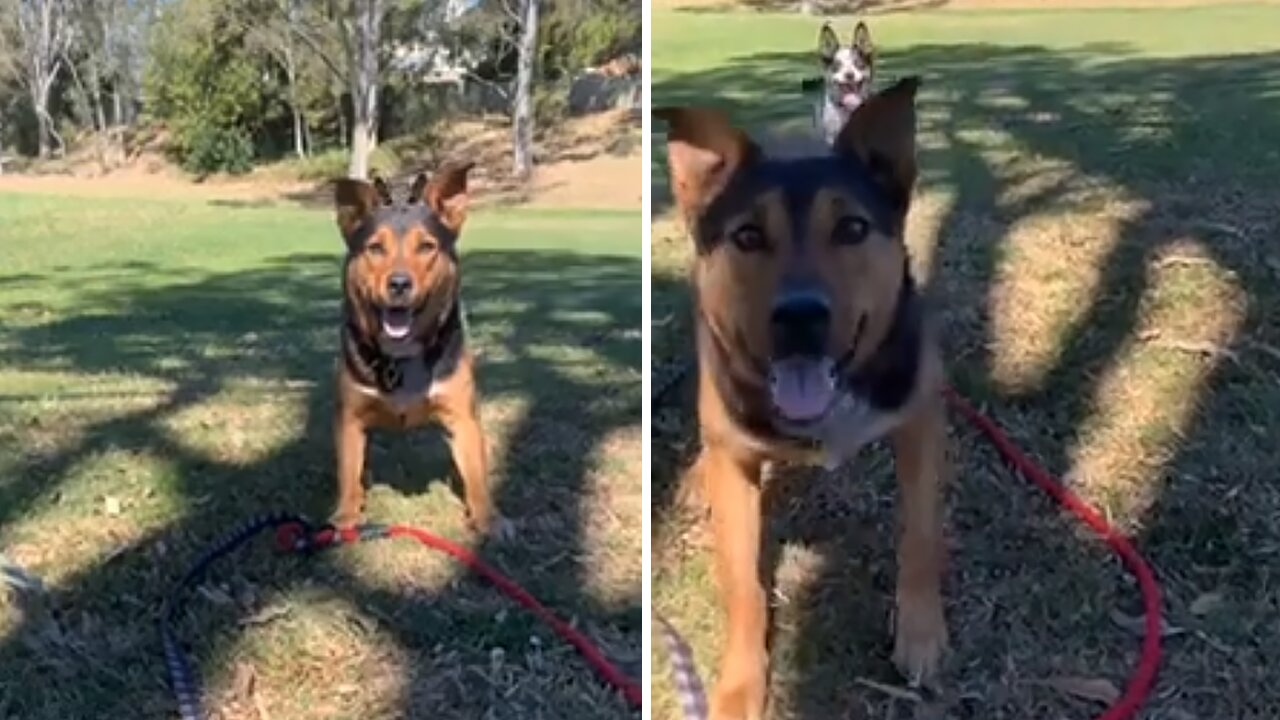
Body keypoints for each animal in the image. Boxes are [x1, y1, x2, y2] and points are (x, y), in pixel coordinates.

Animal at [330, 162, 494, 532]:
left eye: (427, 247)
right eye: (375, 248)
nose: (399, 283)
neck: (401, 355)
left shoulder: (463, 417)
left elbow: (476, 473)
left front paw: (488, 518)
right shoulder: (350, 418)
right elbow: (348, 473)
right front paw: (345, 516)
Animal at [660, 74, 952, 717]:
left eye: (852, 229)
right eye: (747, 235)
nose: (799, 316)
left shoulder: (920, 420)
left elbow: (921, 537)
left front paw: (922, 633)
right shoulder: (737, 463)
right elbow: (743, 585)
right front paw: (739, 685)